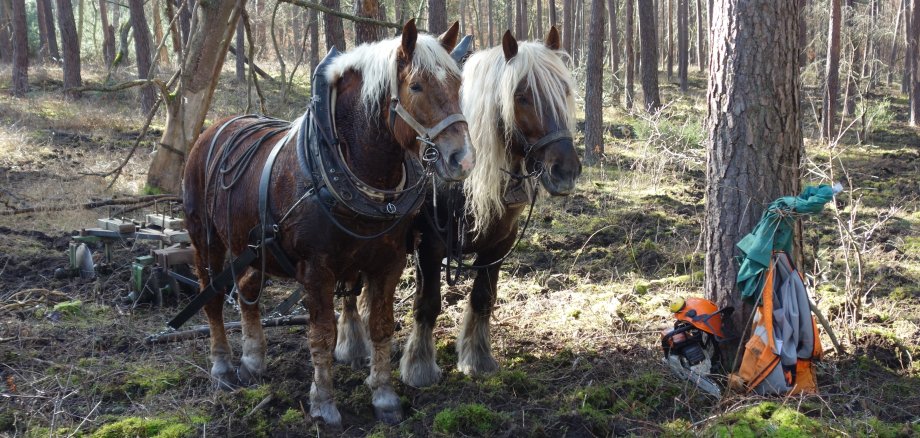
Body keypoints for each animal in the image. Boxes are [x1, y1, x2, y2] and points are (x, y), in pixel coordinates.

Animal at [184, 19, 478, 424]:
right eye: (416, 86)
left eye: (457, 84)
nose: (462, 159)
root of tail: (215, 127)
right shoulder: (316, 270)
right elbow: (321, 334)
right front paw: (323, 402)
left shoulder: (388, 263)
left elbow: (381, 327)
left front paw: (384, 396)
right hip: (205, 238)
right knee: (212, 297)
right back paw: (223, 366)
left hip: (255, 246)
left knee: (245, 288)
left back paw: (253, 359)